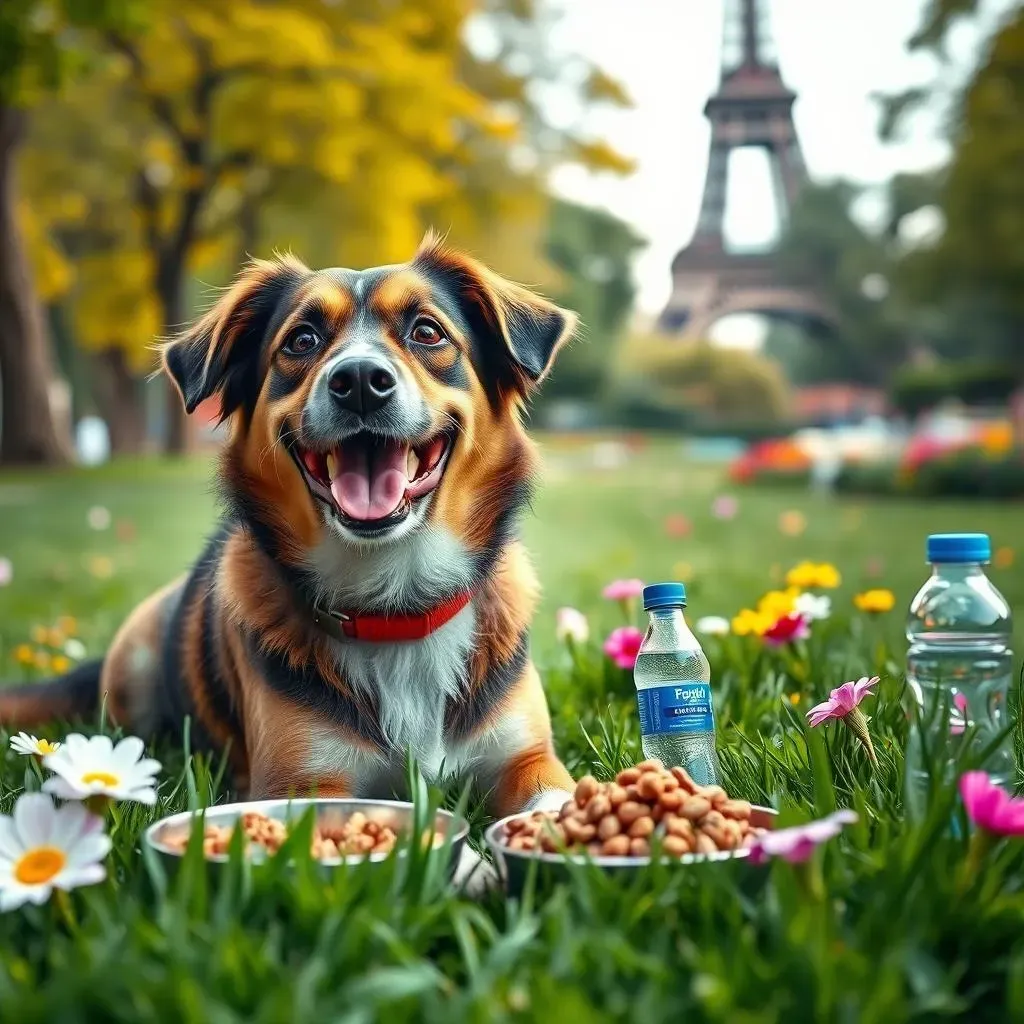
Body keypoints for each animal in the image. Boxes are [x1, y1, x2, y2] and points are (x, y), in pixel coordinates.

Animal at [0, 235, 577, 819]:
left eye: (427, 331)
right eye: (302, 340)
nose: (360, 381)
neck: (395, 604)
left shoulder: (528, 758)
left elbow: (558, 802)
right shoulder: (301, 781)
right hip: (136, 657)